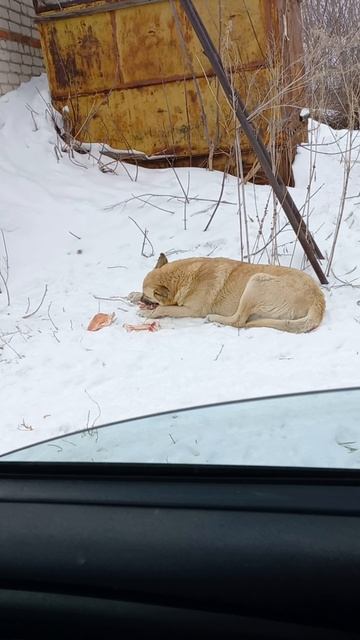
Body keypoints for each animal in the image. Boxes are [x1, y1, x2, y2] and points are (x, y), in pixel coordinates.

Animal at [134, 254, 324, 336]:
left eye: (148, 297)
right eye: (143, 294)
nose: (142, 300)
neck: (185, 277)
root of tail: (318, 301)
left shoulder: (191, 310)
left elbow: (163, 309)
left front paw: (146, 312)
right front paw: (133, 295)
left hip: (256, 282)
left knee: (238, 321)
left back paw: (215, 318)